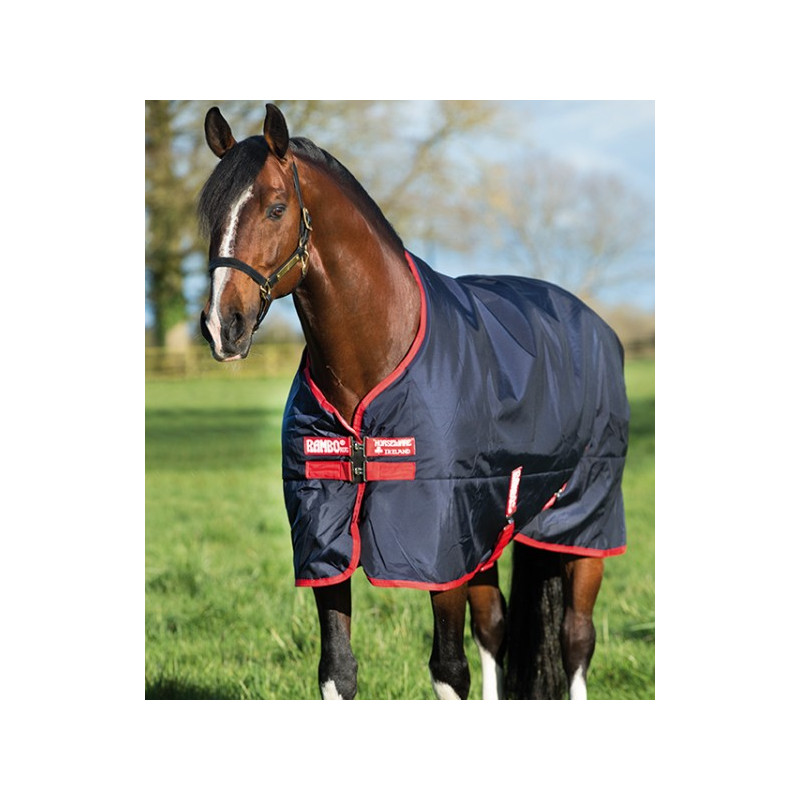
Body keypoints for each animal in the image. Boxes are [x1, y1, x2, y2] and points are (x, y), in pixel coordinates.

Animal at [198, 103, 629, 700]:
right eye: (209, 214)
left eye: (276, 208)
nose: (223, 327)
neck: (373, 362)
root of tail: (594, 322)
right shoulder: (327, 542)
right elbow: (338, 671)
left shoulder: (436, 547)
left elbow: (449, 670)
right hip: (487, 532)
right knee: (494, 627)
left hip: (585, 524)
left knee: (575, 641)